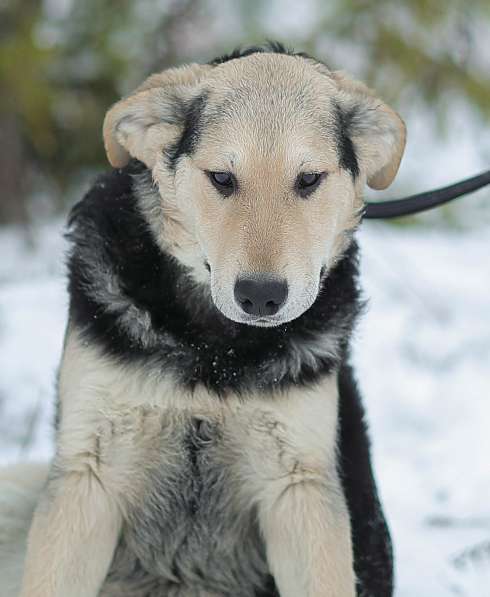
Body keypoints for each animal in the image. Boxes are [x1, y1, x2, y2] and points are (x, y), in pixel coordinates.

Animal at [0, 39, 406, 592]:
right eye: (222, 178)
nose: (261, 296)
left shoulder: (298, 486)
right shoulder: (87, 474)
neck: (213, 351)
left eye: (308, 180)